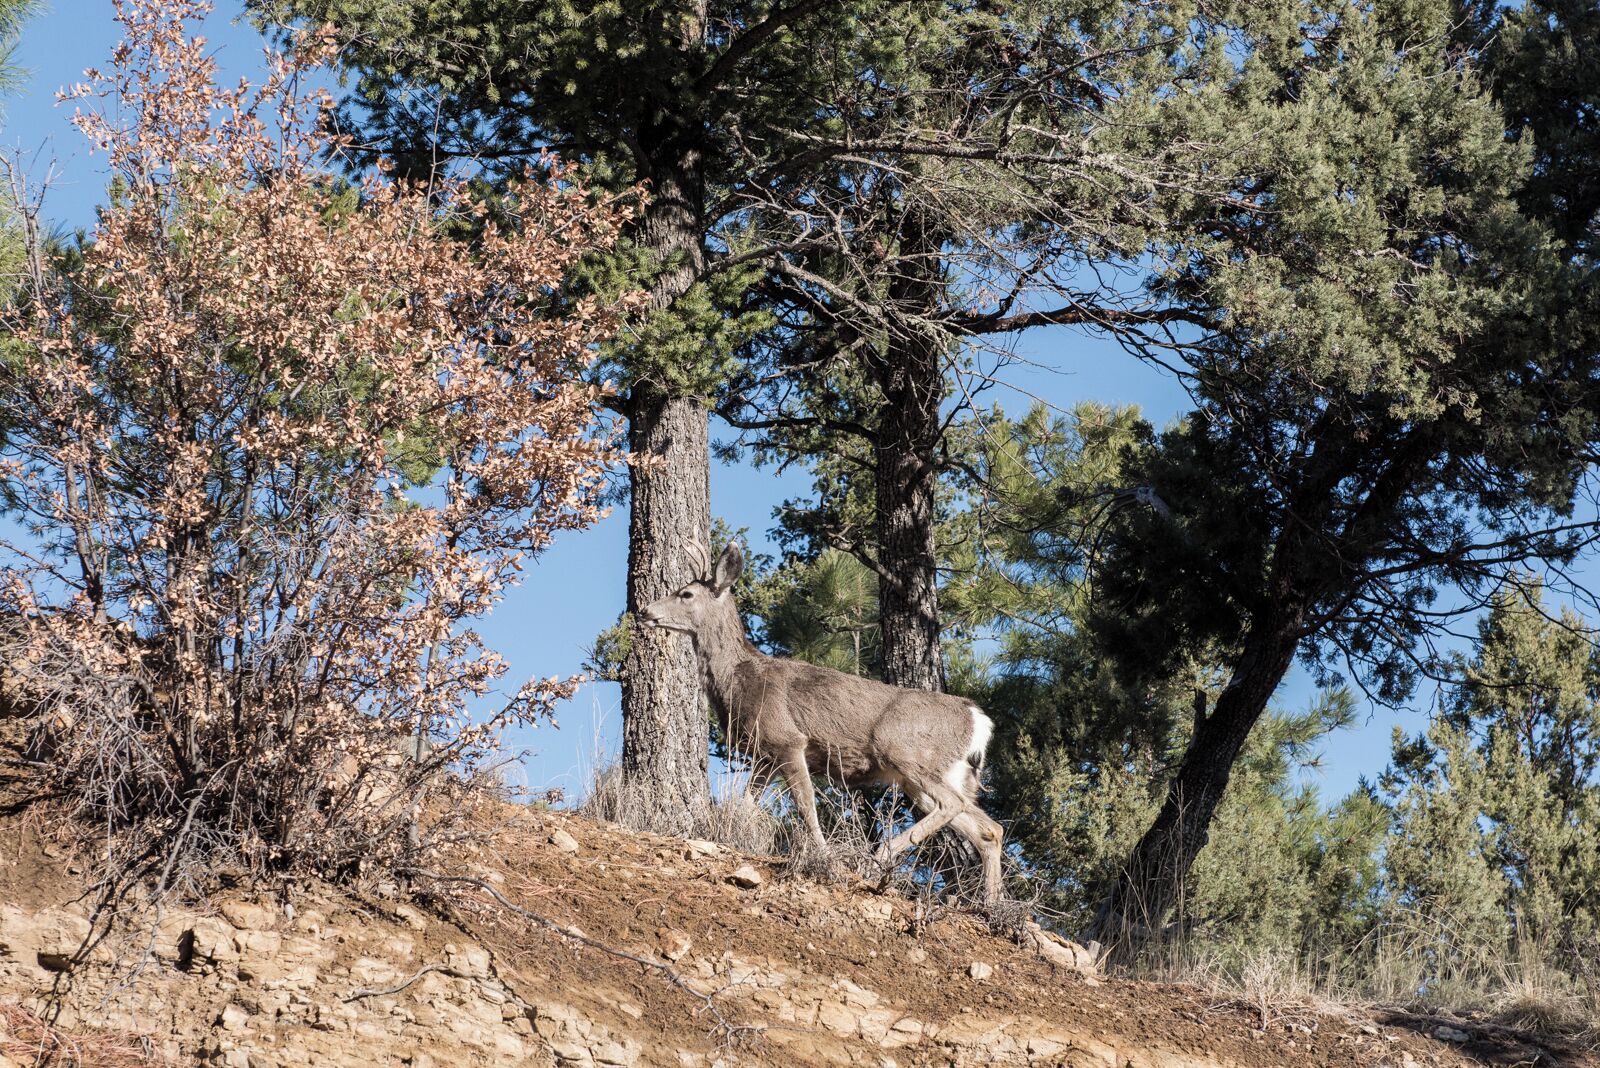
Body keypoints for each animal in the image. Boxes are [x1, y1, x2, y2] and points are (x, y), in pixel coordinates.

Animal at [638, 540, 1004, 903]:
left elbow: (806, 808)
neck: (738, 679)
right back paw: (990, 905)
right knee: (989, 828)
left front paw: (825, 857)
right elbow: (744, 807)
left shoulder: (788, 739)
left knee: (954, 805)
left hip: (906, 752)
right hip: (940, 775)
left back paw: (879, 856)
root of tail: (979, 720)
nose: (645, 611)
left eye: (685, 593)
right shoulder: (763, 756)